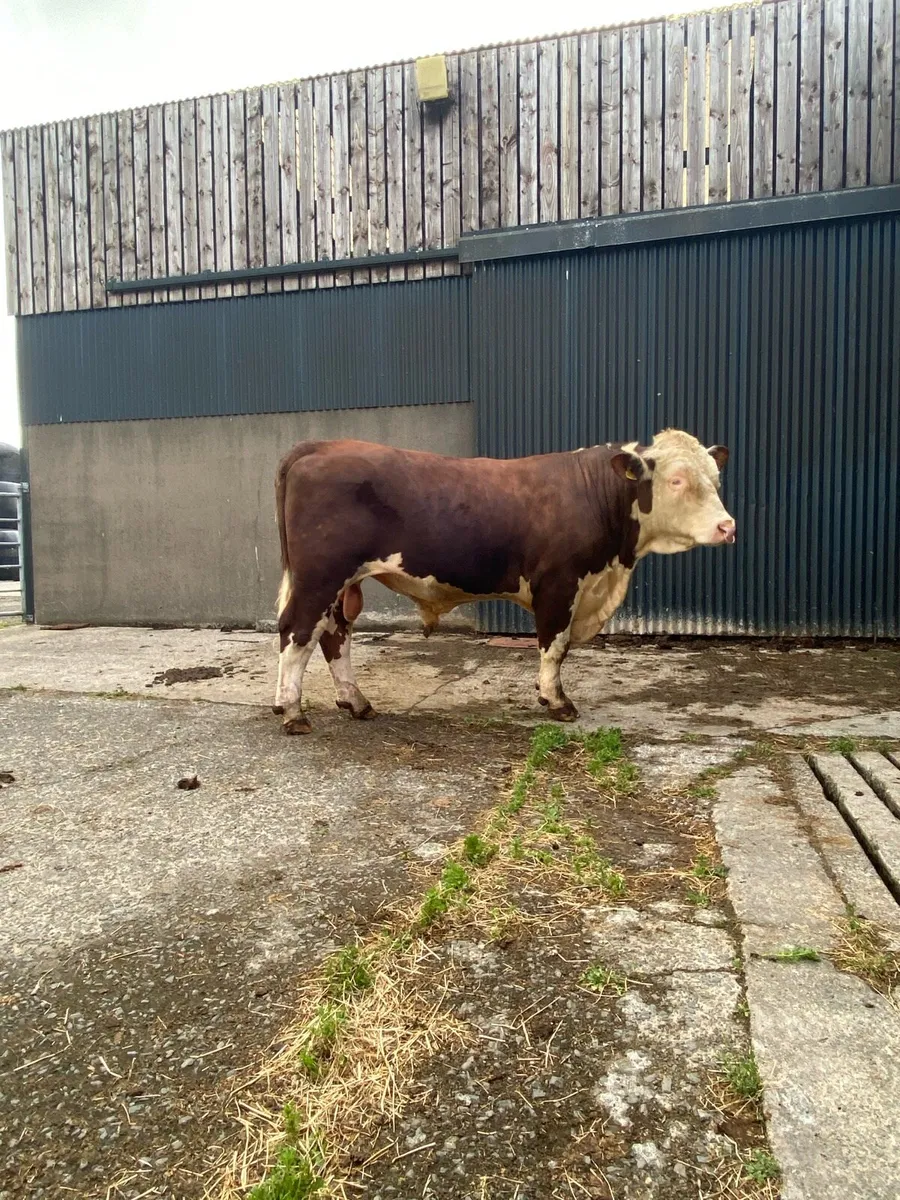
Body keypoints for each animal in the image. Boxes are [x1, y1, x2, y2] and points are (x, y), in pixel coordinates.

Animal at [273, 430, 735, 734]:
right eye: (676, 480)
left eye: (716, 480)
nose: (727, 526)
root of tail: (320, 445)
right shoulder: (560, 584)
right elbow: (555, 646)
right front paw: (557, 701)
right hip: (320, 576)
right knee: (298, 632)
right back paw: (293, 712)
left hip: (339, 584)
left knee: (334, 635)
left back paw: (354, 701)